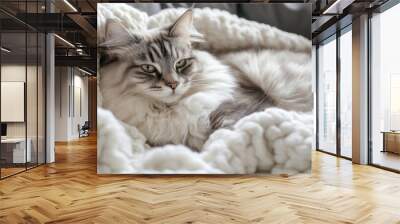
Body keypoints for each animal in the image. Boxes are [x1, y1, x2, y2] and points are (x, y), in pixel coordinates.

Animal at [99, 9, 312, 151]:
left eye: (181, 64)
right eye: (148, 68)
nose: (173, 84)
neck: (168, 111)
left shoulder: (248, 102)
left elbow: (223, 129)